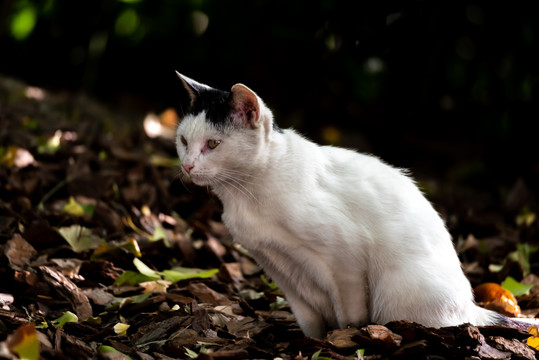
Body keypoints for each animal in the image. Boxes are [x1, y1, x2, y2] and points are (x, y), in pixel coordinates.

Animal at [175, 71, 512, 338]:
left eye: (214, 144)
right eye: (183, 141)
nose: (187, 166)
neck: (245, 195)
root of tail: (472, 309)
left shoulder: (346, 257)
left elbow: (350, 315)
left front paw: (345, 339)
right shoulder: (277, 265)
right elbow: (308, 319)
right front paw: (313, 344)